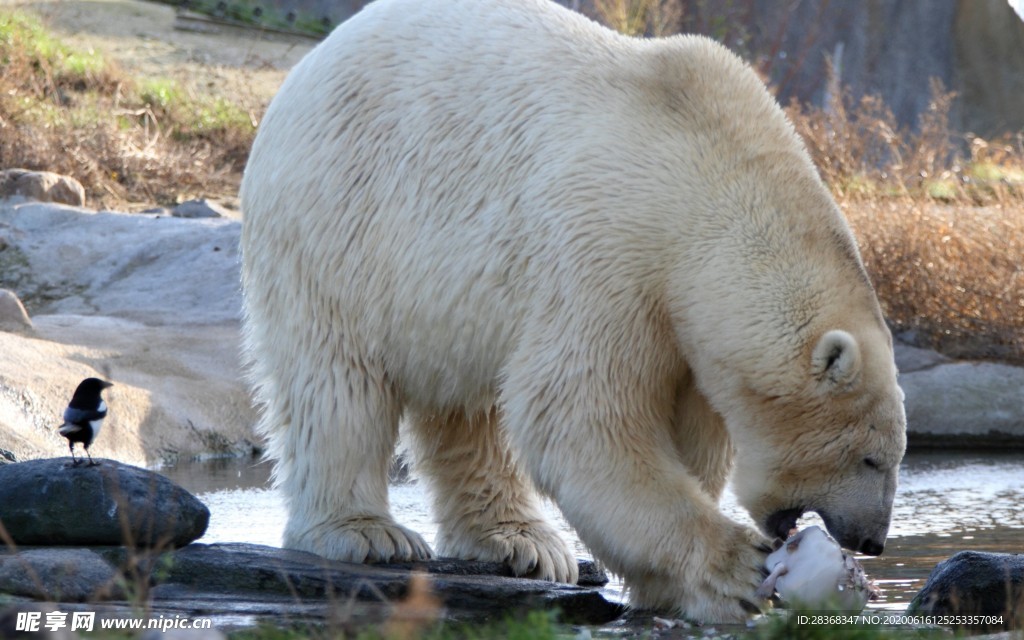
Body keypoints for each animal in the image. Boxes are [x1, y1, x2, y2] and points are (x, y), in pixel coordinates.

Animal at [239, 0, 905, 622]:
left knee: (469, 408)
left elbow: (688, 427)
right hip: (339, 222)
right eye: (870, 457)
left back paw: (520, 541)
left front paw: (669, 588)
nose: (871, 541)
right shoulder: (608, 253)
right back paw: (368, 533)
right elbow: (581, 414)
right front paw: (733, 569)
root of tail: (309, 65)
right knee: (337, 383)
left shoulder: (682, 324)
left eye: (892, 455)